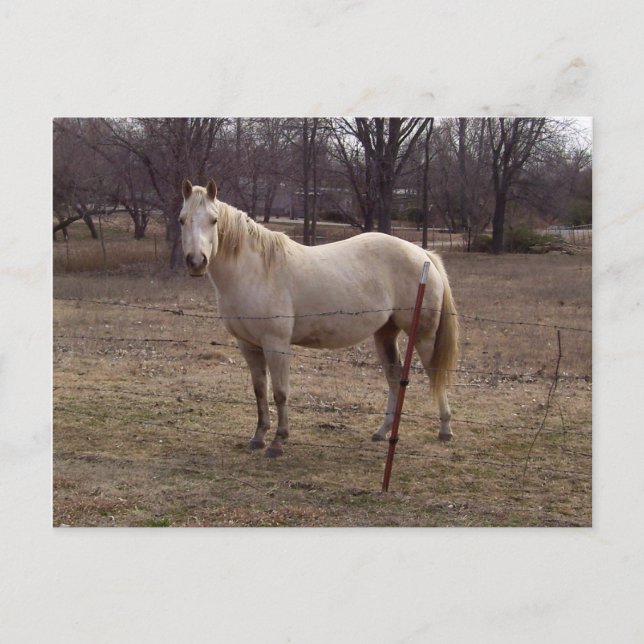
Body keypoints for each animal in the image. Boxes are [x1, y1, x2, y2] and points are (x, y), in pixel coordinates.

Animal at [180, 179, 459, 458]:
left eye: (214, 220)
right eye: (182, 219)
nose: (196, 262)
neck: (256, 271)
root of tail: (424, 254)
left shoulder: (276, 344)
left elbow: (280, 392)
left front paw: (278, 441)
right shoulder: (248, 345)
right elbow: (260, 391)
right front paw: (258, 437)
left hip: (423, 336)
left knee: (435, 375)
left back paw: (445, 429)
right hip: (385, 334)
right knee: (394, 378)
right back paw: (382, 431)